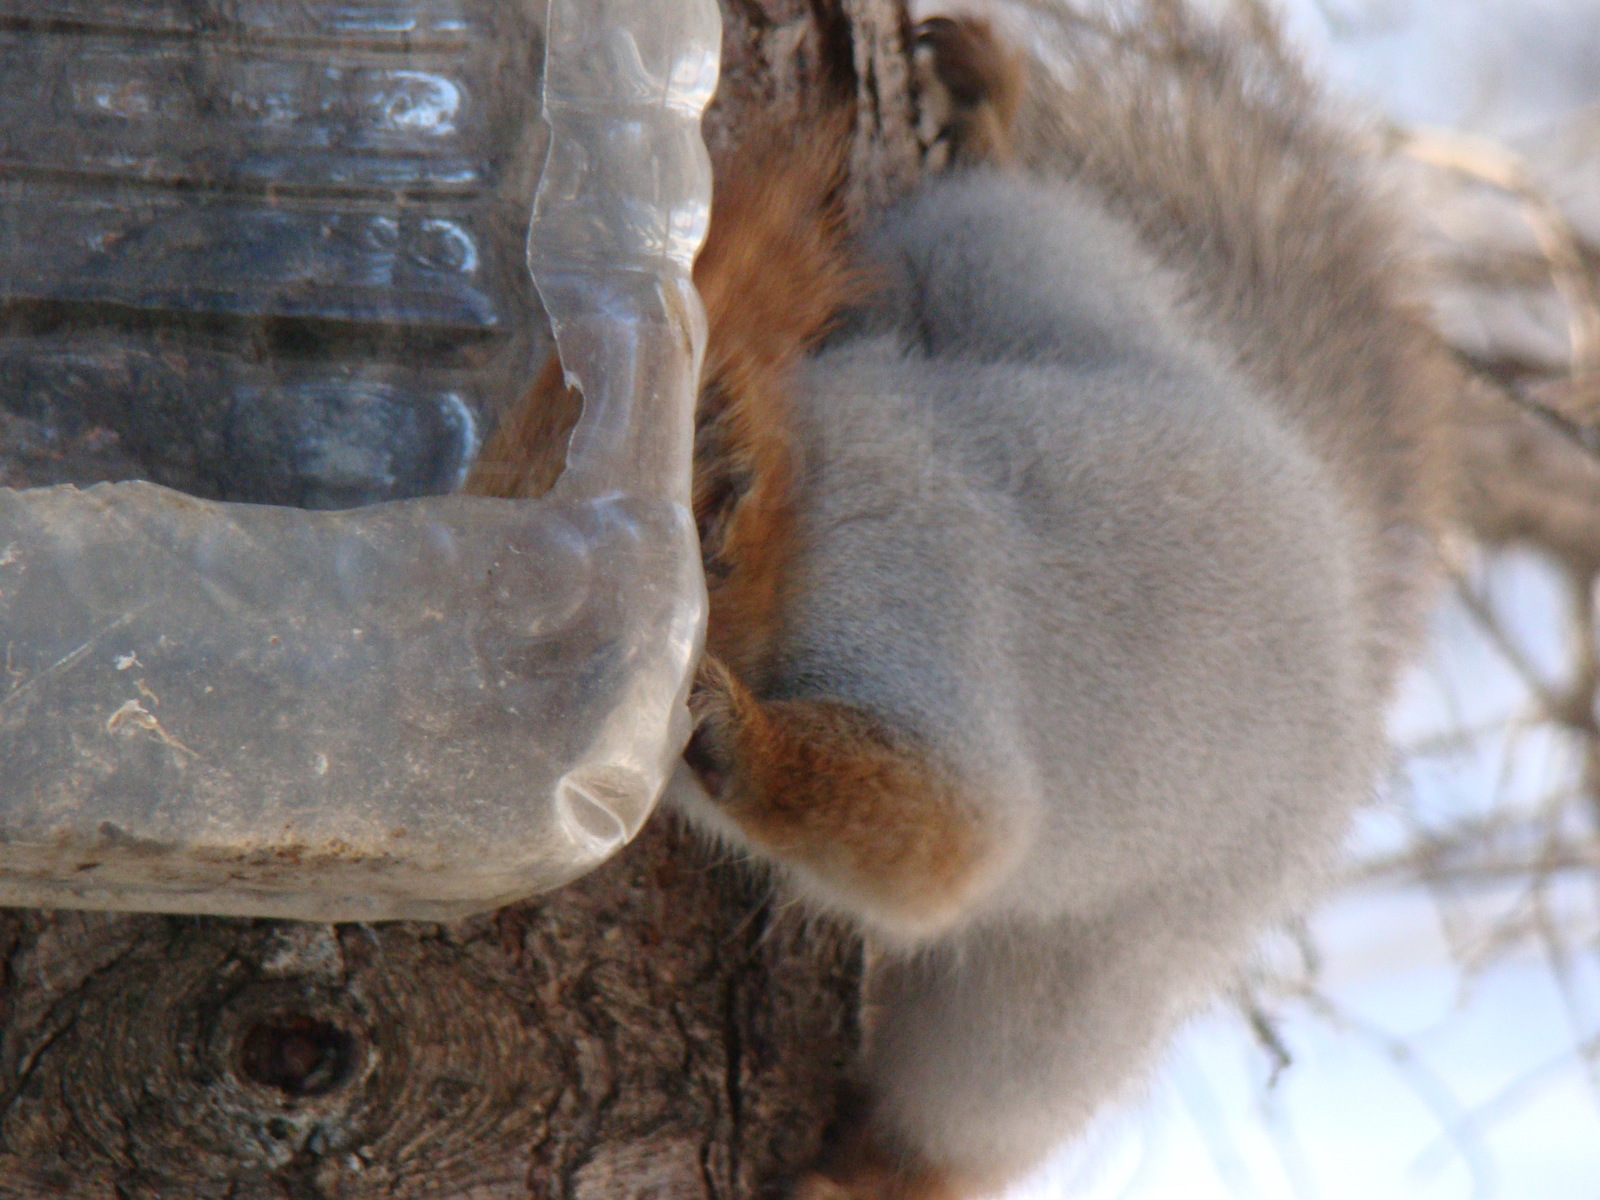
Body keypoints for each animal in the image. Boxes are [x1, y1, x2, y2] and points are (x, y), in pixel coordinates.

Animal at [467, 4, 1465, 1196]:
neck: (811, 492)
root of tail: (1337, 586)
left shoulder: (906, 624)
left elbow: (949, 836)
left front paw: (727, 728)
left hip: (1096, 967)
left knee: (984, 1100)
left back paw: (863, 1174)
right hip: (1021, 273)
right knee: (1019, 221)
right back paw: (982, 112)